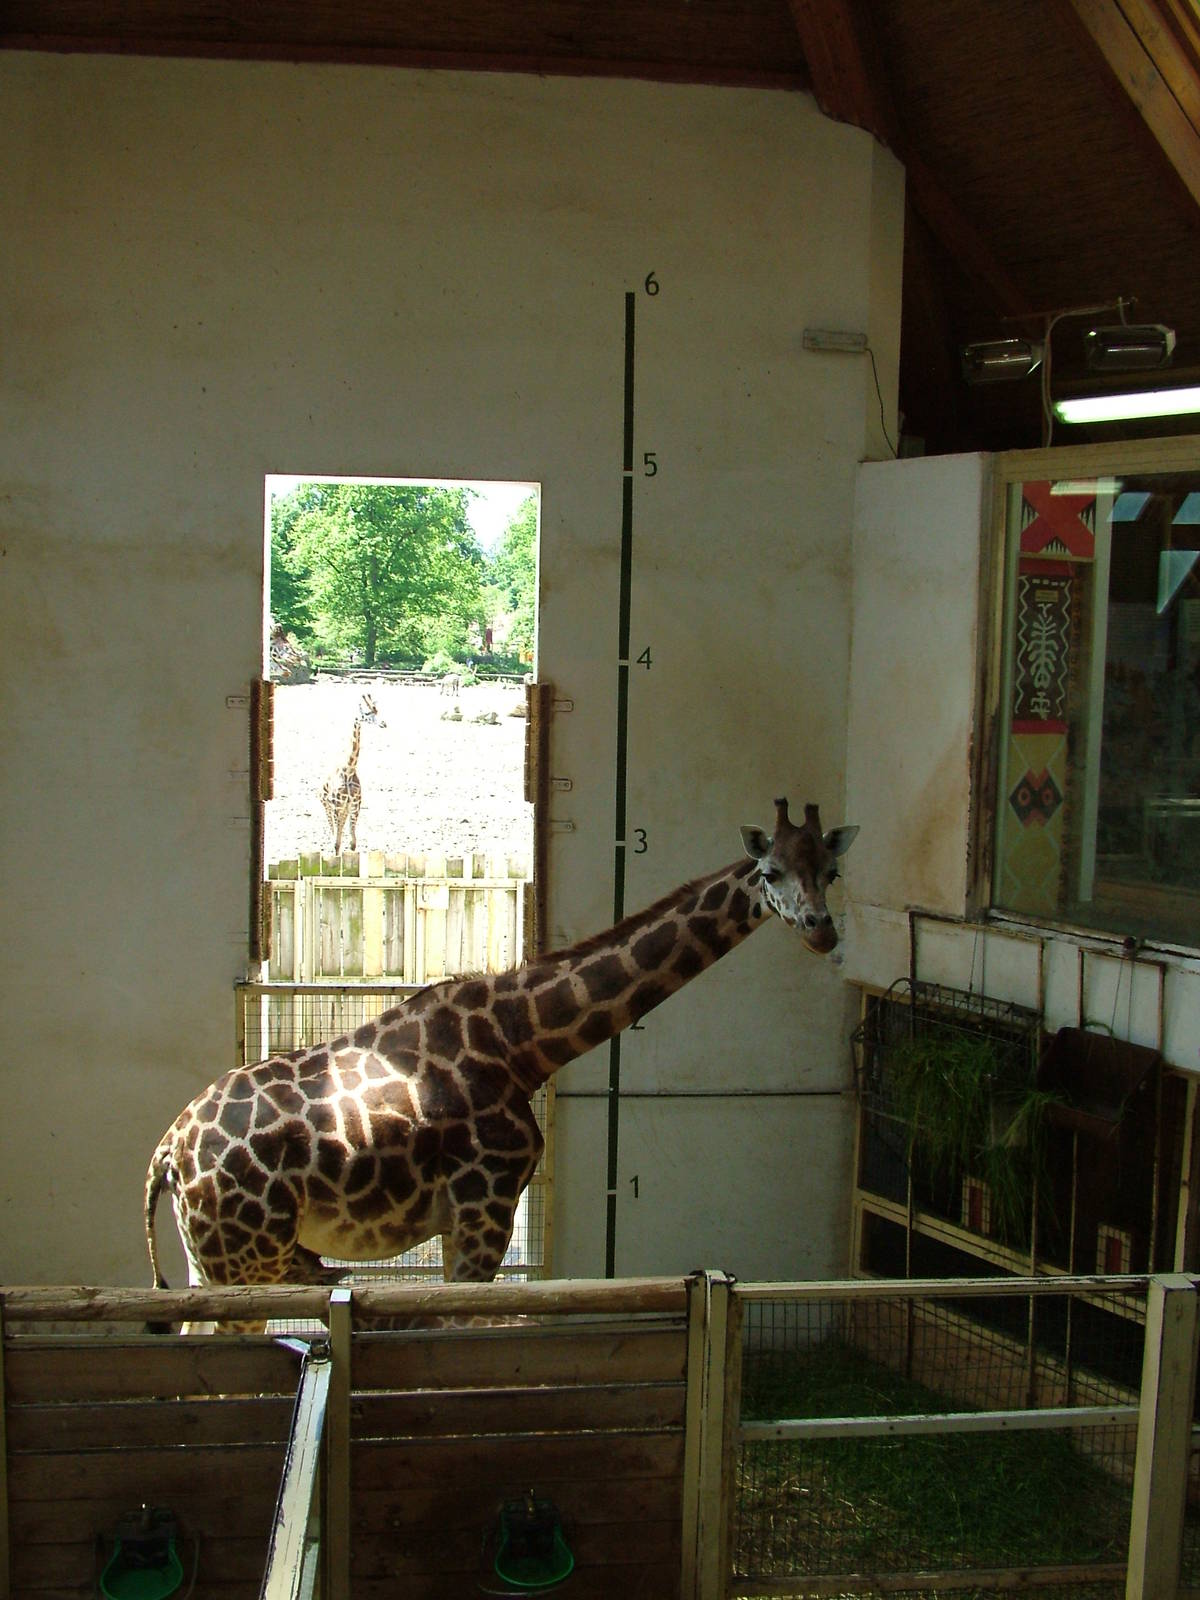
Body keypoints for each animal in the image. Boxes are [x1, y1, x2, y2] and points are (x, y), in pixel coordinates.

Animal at [145, 797, 857, 1321]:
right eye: (770, 873)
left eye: (831, 871)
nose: (822, 932)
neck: (523, 1043)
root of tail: (168, 1155)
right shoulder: (485, 1207)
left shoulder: (464, 1221)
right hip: (244, 1262)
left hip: (209, 1263)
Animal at [320, 692, 386, 854]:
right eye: (367, 713)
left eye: (377, 711)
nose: (384, 723)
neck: (349, 770)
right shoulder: (337, 806)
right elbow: (336, 843)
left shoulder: (355, 805)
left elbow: (352, 843)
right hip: (327, 805)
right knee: (333, 832)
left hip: (345, 809)